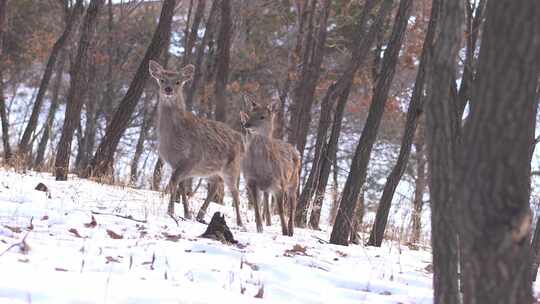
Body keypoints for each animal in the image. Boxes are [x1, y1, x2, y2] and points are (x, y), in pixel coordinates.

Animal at [150, 60, 247, 226]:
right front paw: (186, 213)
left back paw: (240, 223)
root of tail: (241, 140)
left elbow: (174, 181)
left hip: (232, 167)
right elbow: (181, 186)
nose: (168, 89)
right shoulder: (175, 163)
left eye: (178, 82)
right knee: (215, 185)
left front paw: (171, 212)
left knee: (234, 192)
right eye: (162, 79)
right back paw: (200, 215)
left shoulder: (193, 158)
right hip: (211, 170)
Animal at [239, 101, 300, 236]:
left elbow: (281, 209)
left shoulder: (279, 183)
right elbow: (256, 206)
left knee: (293, 205)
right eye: (251, 113)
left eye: (262, 116)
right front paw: (259, 228)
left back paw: (291, 230)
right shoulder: (250, 181)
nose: (247, 125)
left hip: (294, 182)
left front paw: (284, 231)